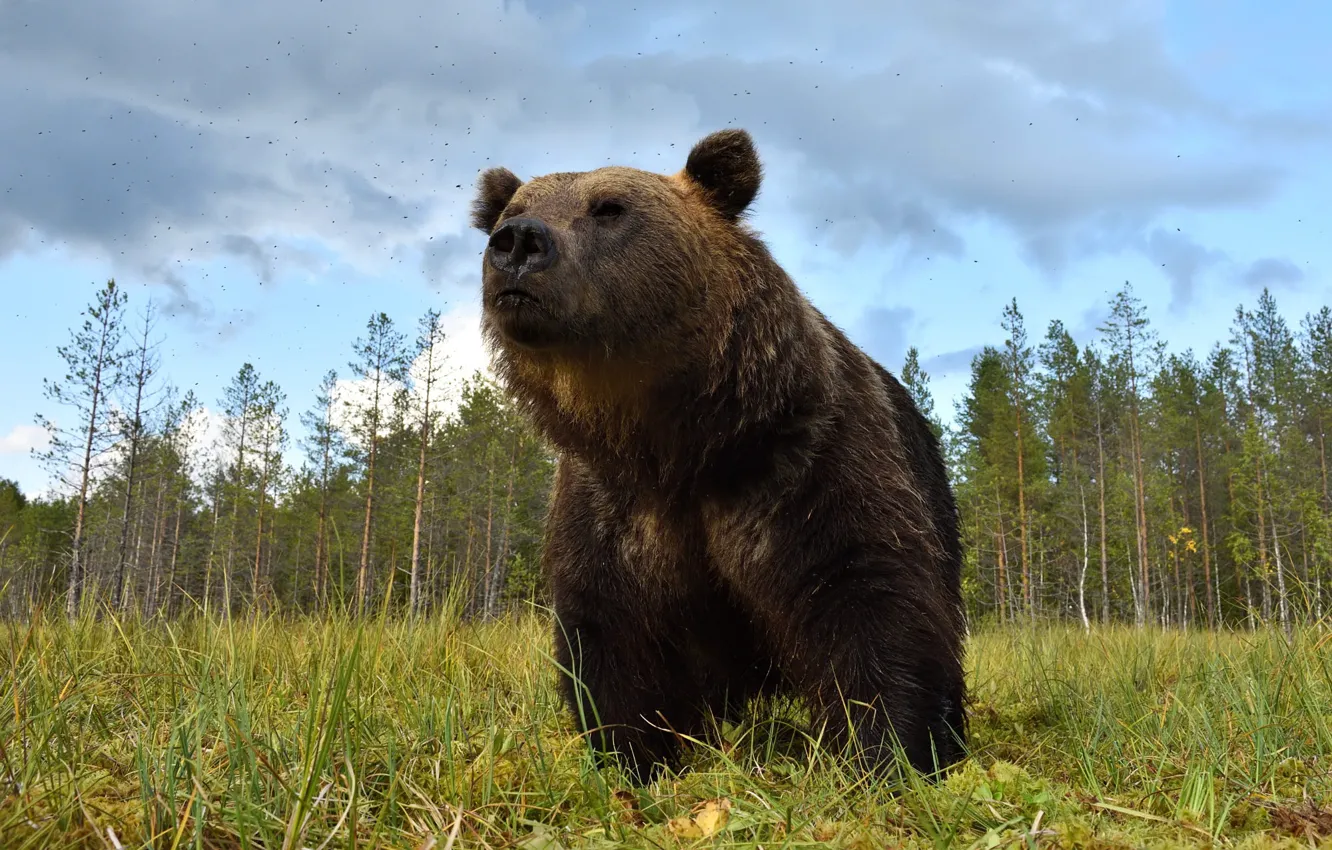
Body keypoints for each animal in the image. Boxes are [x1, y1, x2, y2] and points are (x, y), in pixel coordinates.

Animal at [469, 128, 968, 784]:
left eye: (609, 208)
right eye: (512, 208)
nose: (519, 242)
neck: (682, 444)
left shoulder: (805, 464)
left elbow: (867, 594)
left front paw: (886, 755)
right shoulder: (612, 501)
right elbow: (610, 628)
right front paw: (631, 760)